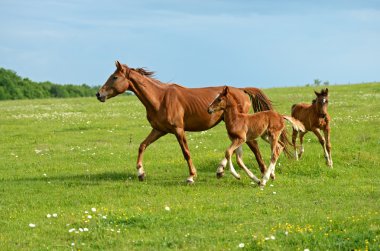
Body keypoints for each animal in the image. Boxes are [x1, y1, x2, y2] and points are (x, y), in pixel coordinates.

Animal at [96, 60, 272, 182]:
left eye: (114, 77)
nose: (99, 94)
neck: (160, 99)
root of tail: (242, 90)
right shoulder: (159, 130)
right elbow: (142, 146)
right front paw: (140, 173)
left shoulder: (178, 130)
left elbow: (186, 152)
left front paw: (191, 176)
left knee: (252, 145)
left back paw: (261, 173)